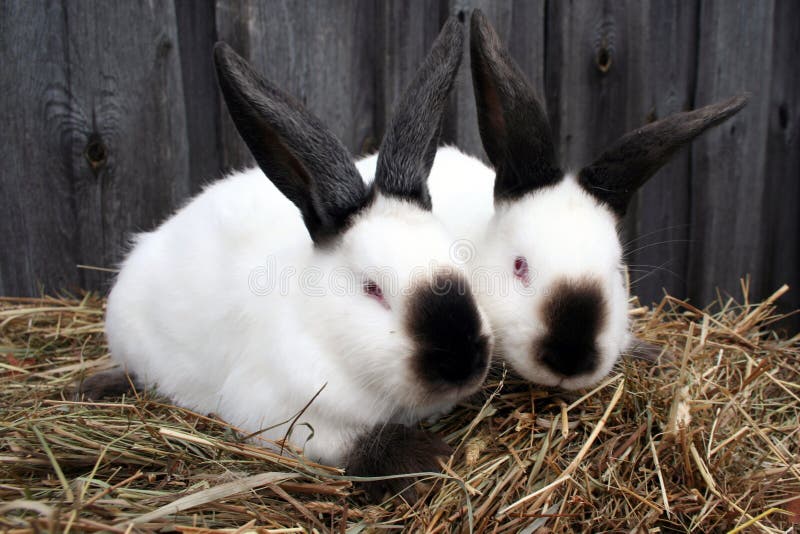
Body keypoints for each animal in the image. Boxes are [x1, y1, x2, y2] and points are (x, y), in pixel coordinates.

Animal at [82, 17, 493, 500]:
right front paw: (426, 460)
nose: (463, 362)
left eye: (459, 264)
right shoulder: (281, 412)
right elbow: (352, 441)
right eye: (372, 289)